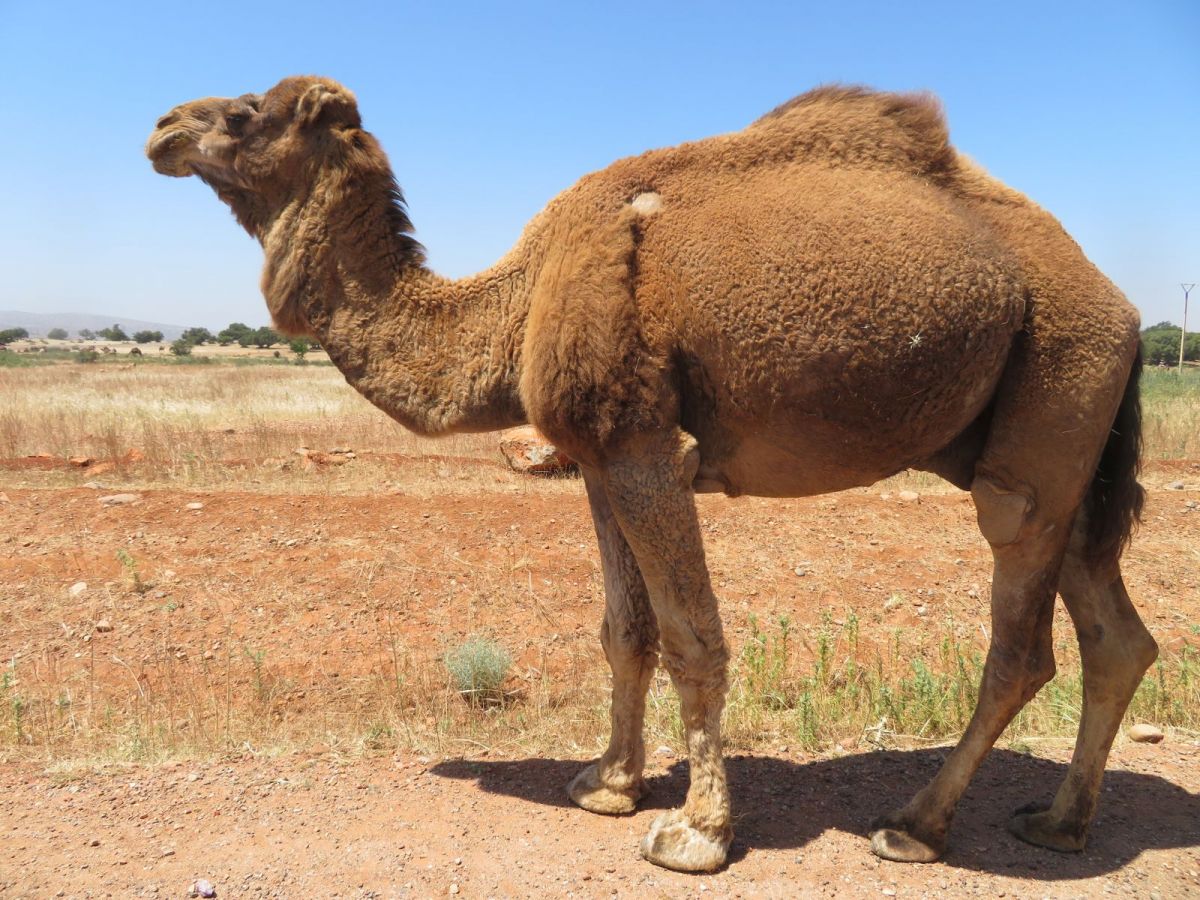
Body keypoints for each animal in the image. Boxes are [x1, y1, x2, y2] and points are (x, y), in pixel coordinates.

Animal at [147, 76, 1154, 873]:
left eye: (241, 115)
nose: (160, 128)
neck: (515, 305)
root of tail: (1126, 311)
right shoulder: (598, 461)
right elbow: (622, 631)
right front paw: (607, 783)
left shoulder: (647, 449)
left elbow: (691, 640)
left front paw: (696, 833)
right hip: (1062, 440)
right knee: (1116, 636)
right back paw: (1059, 821)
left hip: (1053, 392)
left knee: (1022, 635)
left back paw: (915, 825)